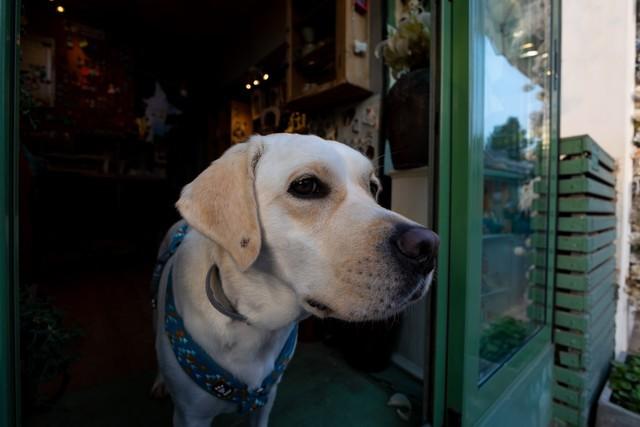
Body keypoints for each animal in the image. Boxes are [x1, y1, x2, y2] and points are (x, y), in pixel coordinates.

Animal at [151, 133, 439, 427]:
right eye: (306, 185)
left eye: (373, 187)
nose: (428, 247)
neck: (253, 321)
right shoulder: (191, 416)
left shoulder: (266, 399)